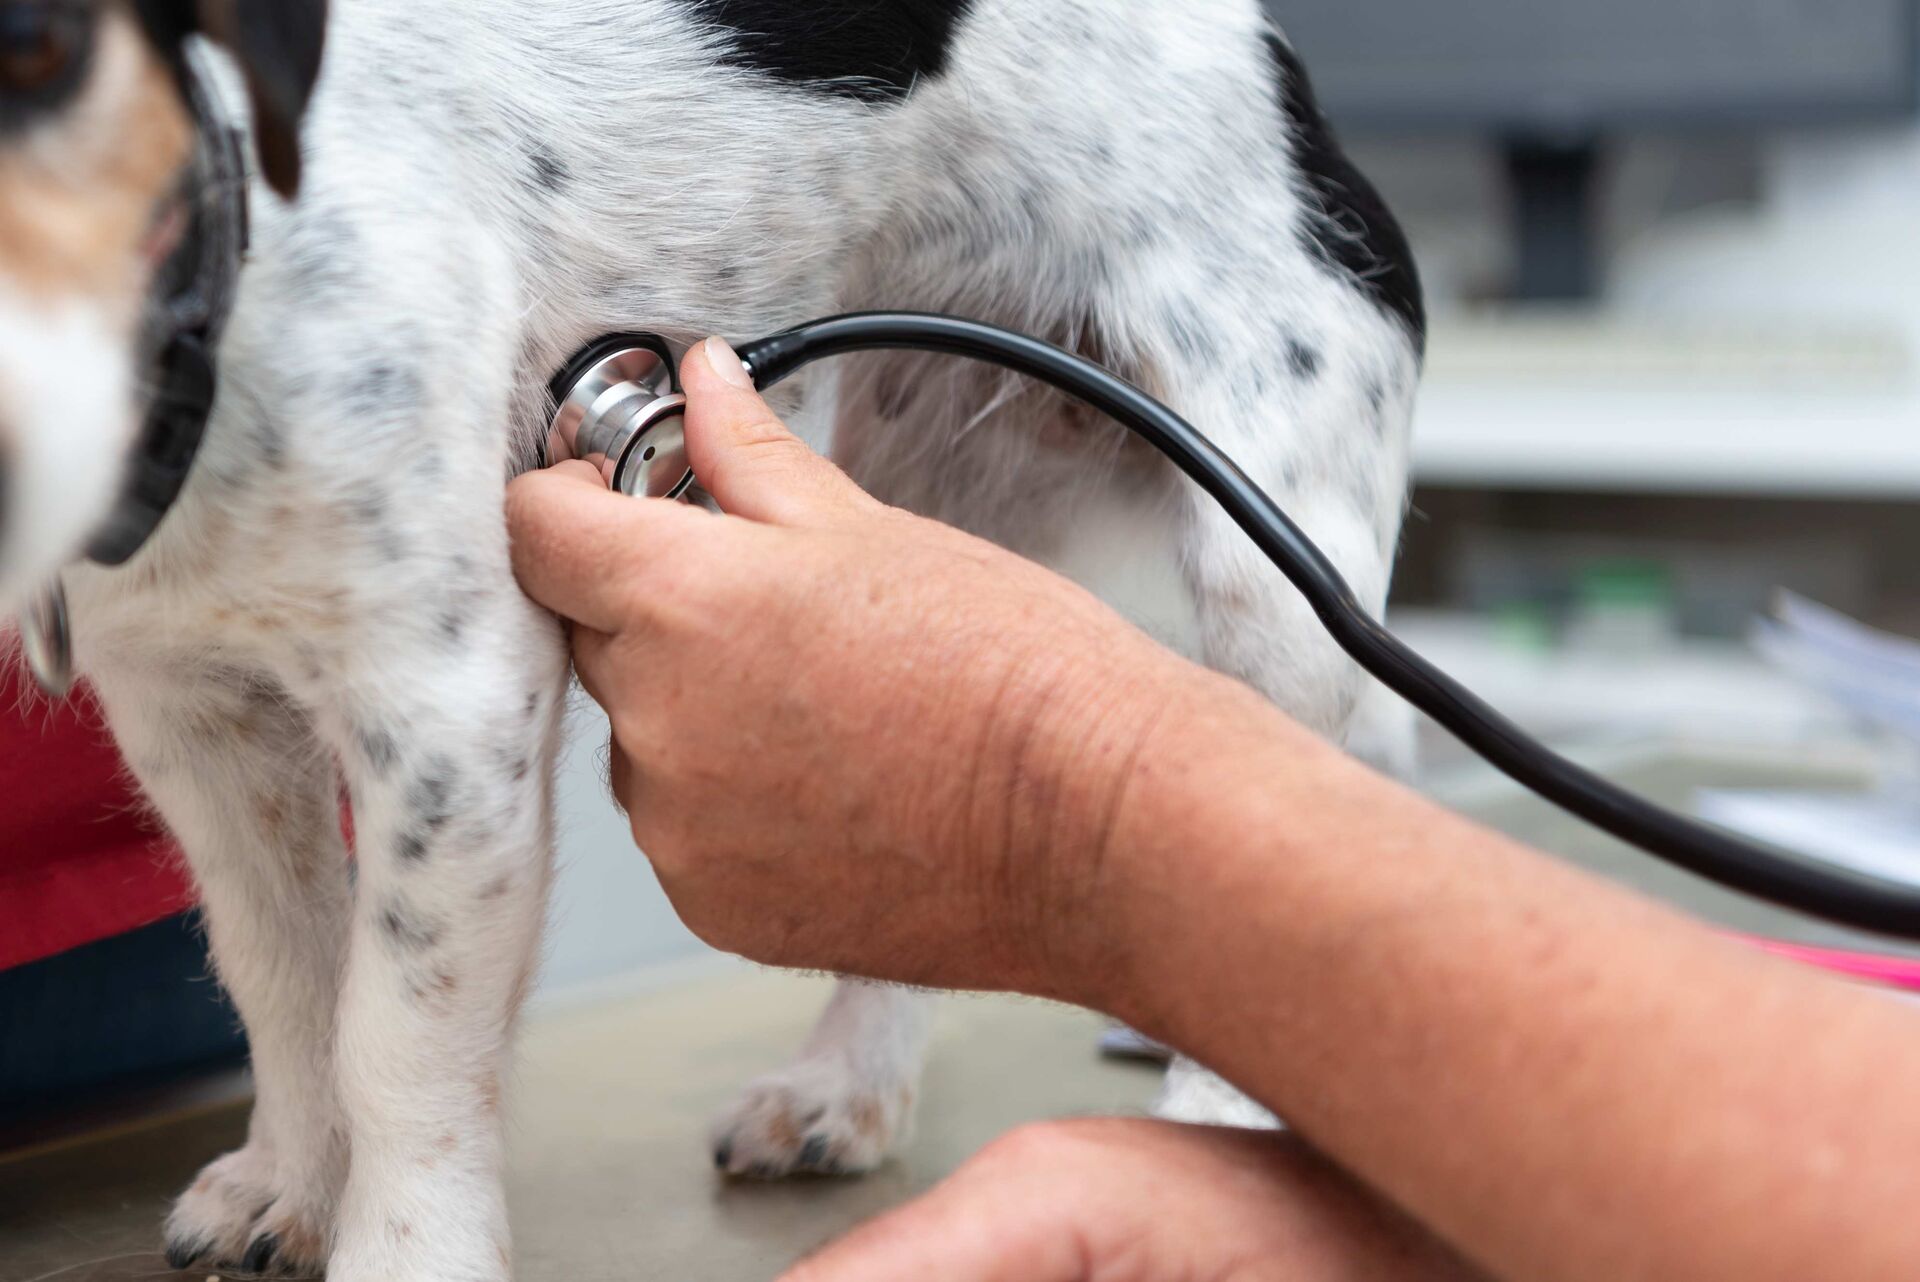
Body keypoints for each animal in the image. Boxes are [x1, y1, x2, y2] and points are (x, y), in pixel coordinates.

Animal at [0, 5, 1413, 1274]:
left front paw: (407, 1250)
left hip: (1271, 549)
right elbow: (284, 975)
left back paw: (1219, 1132)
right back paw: (845, 1084)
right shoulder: (196, 720)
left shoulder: (452, 708)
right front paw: (296, 1181)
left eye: (45, 53)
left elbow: (398, 1032)